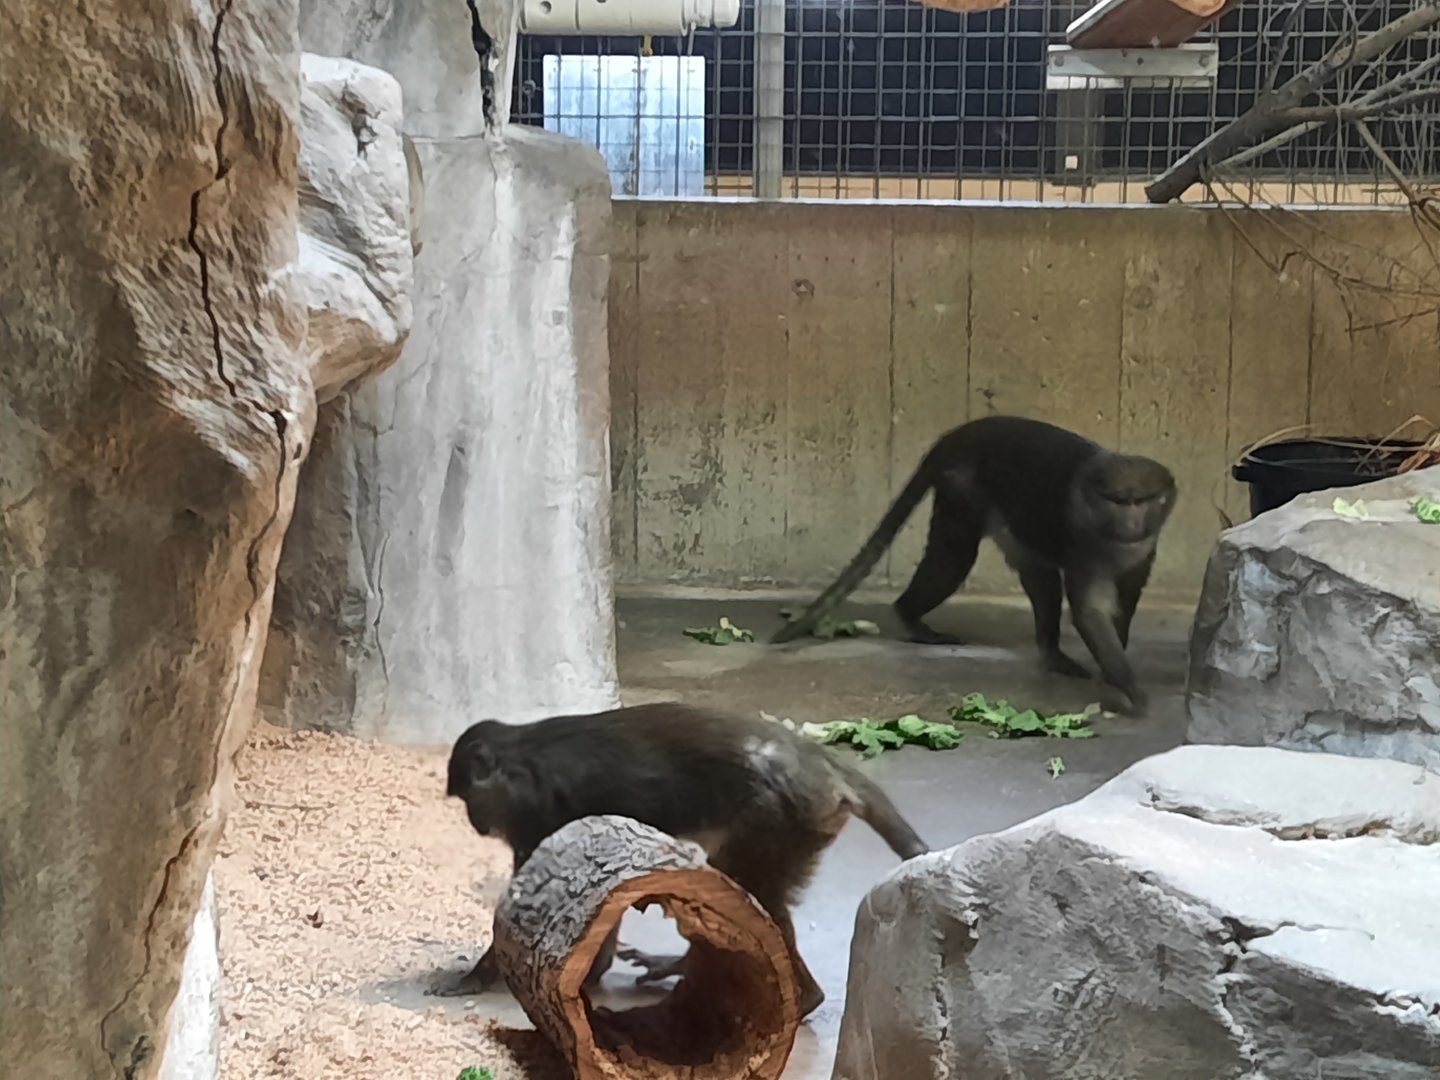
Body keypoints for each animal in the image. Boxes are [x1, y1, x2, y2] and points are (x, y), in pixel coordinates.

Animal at [432, 702, 927, 1018]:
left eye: (470, 798)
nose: (475, 822)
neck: (521, 757)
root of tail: (819, 764)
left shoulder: (537, 812)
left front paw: (474, 977)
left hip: (783, 819)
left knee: (750, 882)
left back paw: (803, 997)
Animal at [771, 415, 1177, 717]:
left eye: (1142, 501)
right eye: (1118, 501)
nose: (1130, 523)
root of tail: (958, 436)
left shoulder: (1145, 548)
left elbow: (1126, 598)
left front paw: (1114, 672)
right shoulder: (1083, 545)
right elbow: (1090, 611)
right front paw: (1129, 686)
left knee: (1038, 576)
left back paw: (1052, 654)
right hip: (961, 487)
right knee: (954, 557)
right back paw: (911, 618)